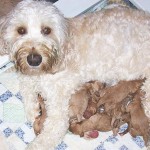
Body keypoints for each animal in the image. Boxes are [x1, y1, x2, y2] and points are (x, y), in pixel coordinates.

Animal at [0, 0, 150, 150]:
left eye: (47, 30)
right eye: (21, 30)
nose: (34, 59)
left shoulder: (58, 108)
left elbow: (48, 136)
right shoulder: (28, 77)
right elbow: (26, 90)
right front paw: (33, 110)